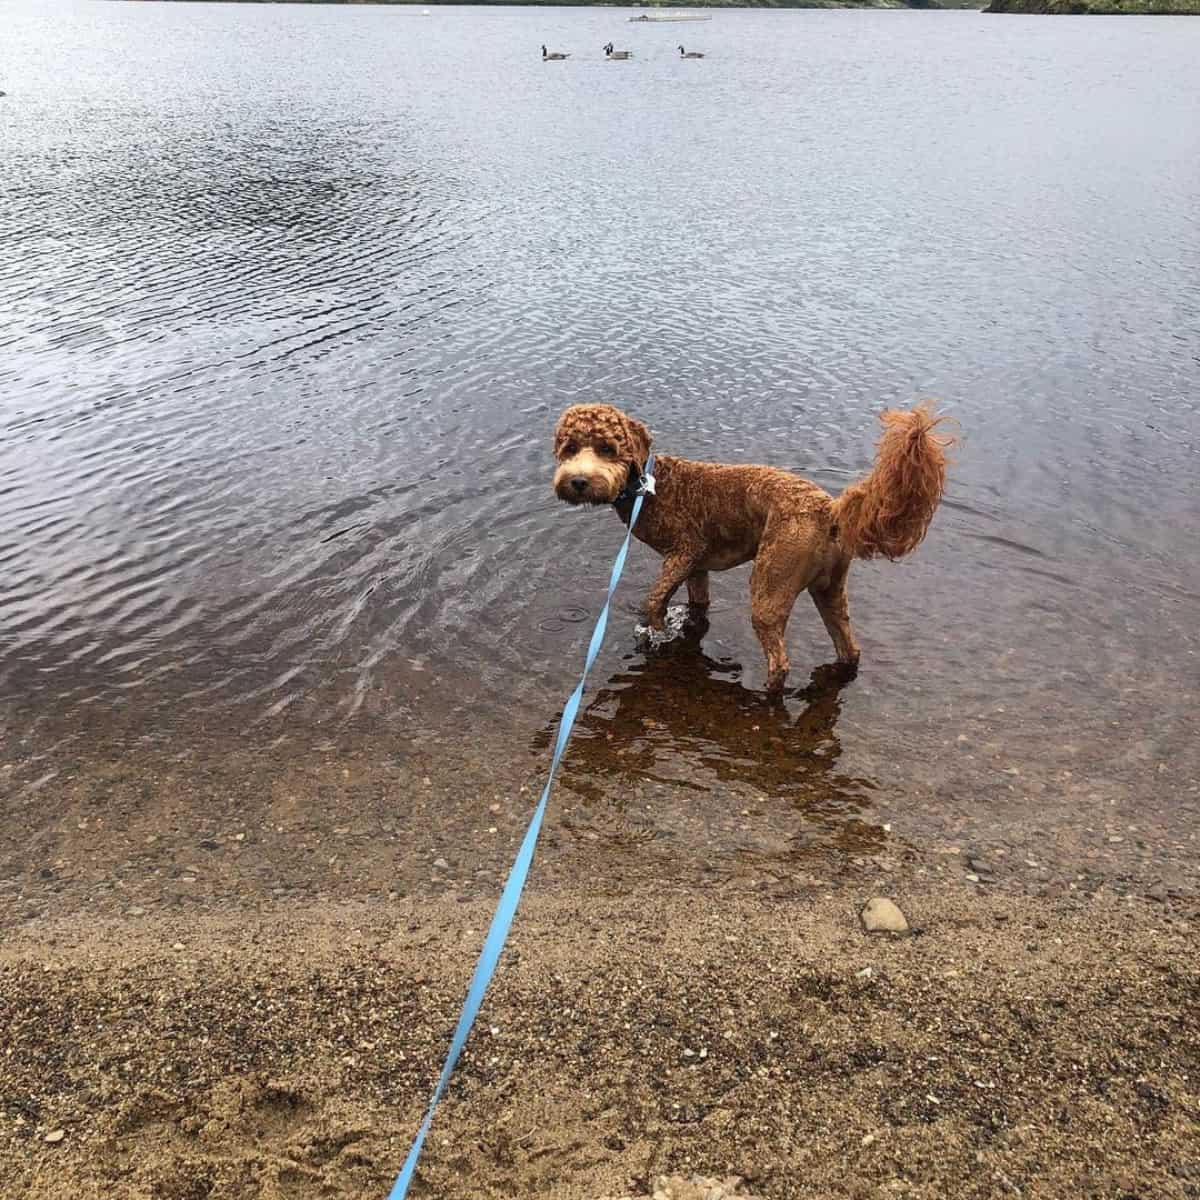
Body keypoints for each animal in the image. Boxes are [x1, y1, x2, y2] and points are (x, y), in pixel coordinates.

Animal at [552, 400, 955, 696]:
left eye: (607, 448)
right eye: (569, 448)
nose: (578, 481)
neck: (648, 487)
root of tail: (829, 510)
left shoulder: (683, 551)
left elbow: (653, 600)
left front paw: (659, 630)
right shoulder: (697, 566)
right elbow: (698, 602)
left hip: (770, 586)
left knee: (780, 662)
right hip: (830, 590)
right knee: (849, 647)